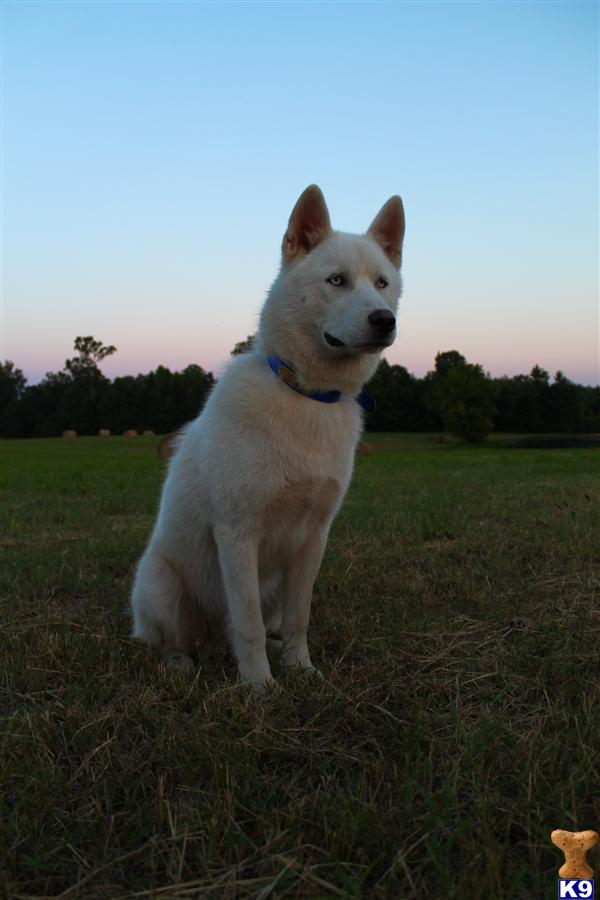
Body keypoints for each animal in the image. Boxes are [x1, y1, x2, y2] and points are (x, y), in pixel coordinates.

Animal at [131, 181, 404, 688]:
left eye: (382, 283)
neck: (305, 394)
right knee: (173, 642)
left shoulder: (314, 537)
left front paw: (300, 668)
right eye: (336, 280)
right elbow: (248, 624)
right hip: (161, 586)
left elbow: (298, 617)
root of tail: (211, 646)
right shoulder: (238, 533)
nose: (384, 320)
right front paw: (259, 687)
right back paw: (182, 664)